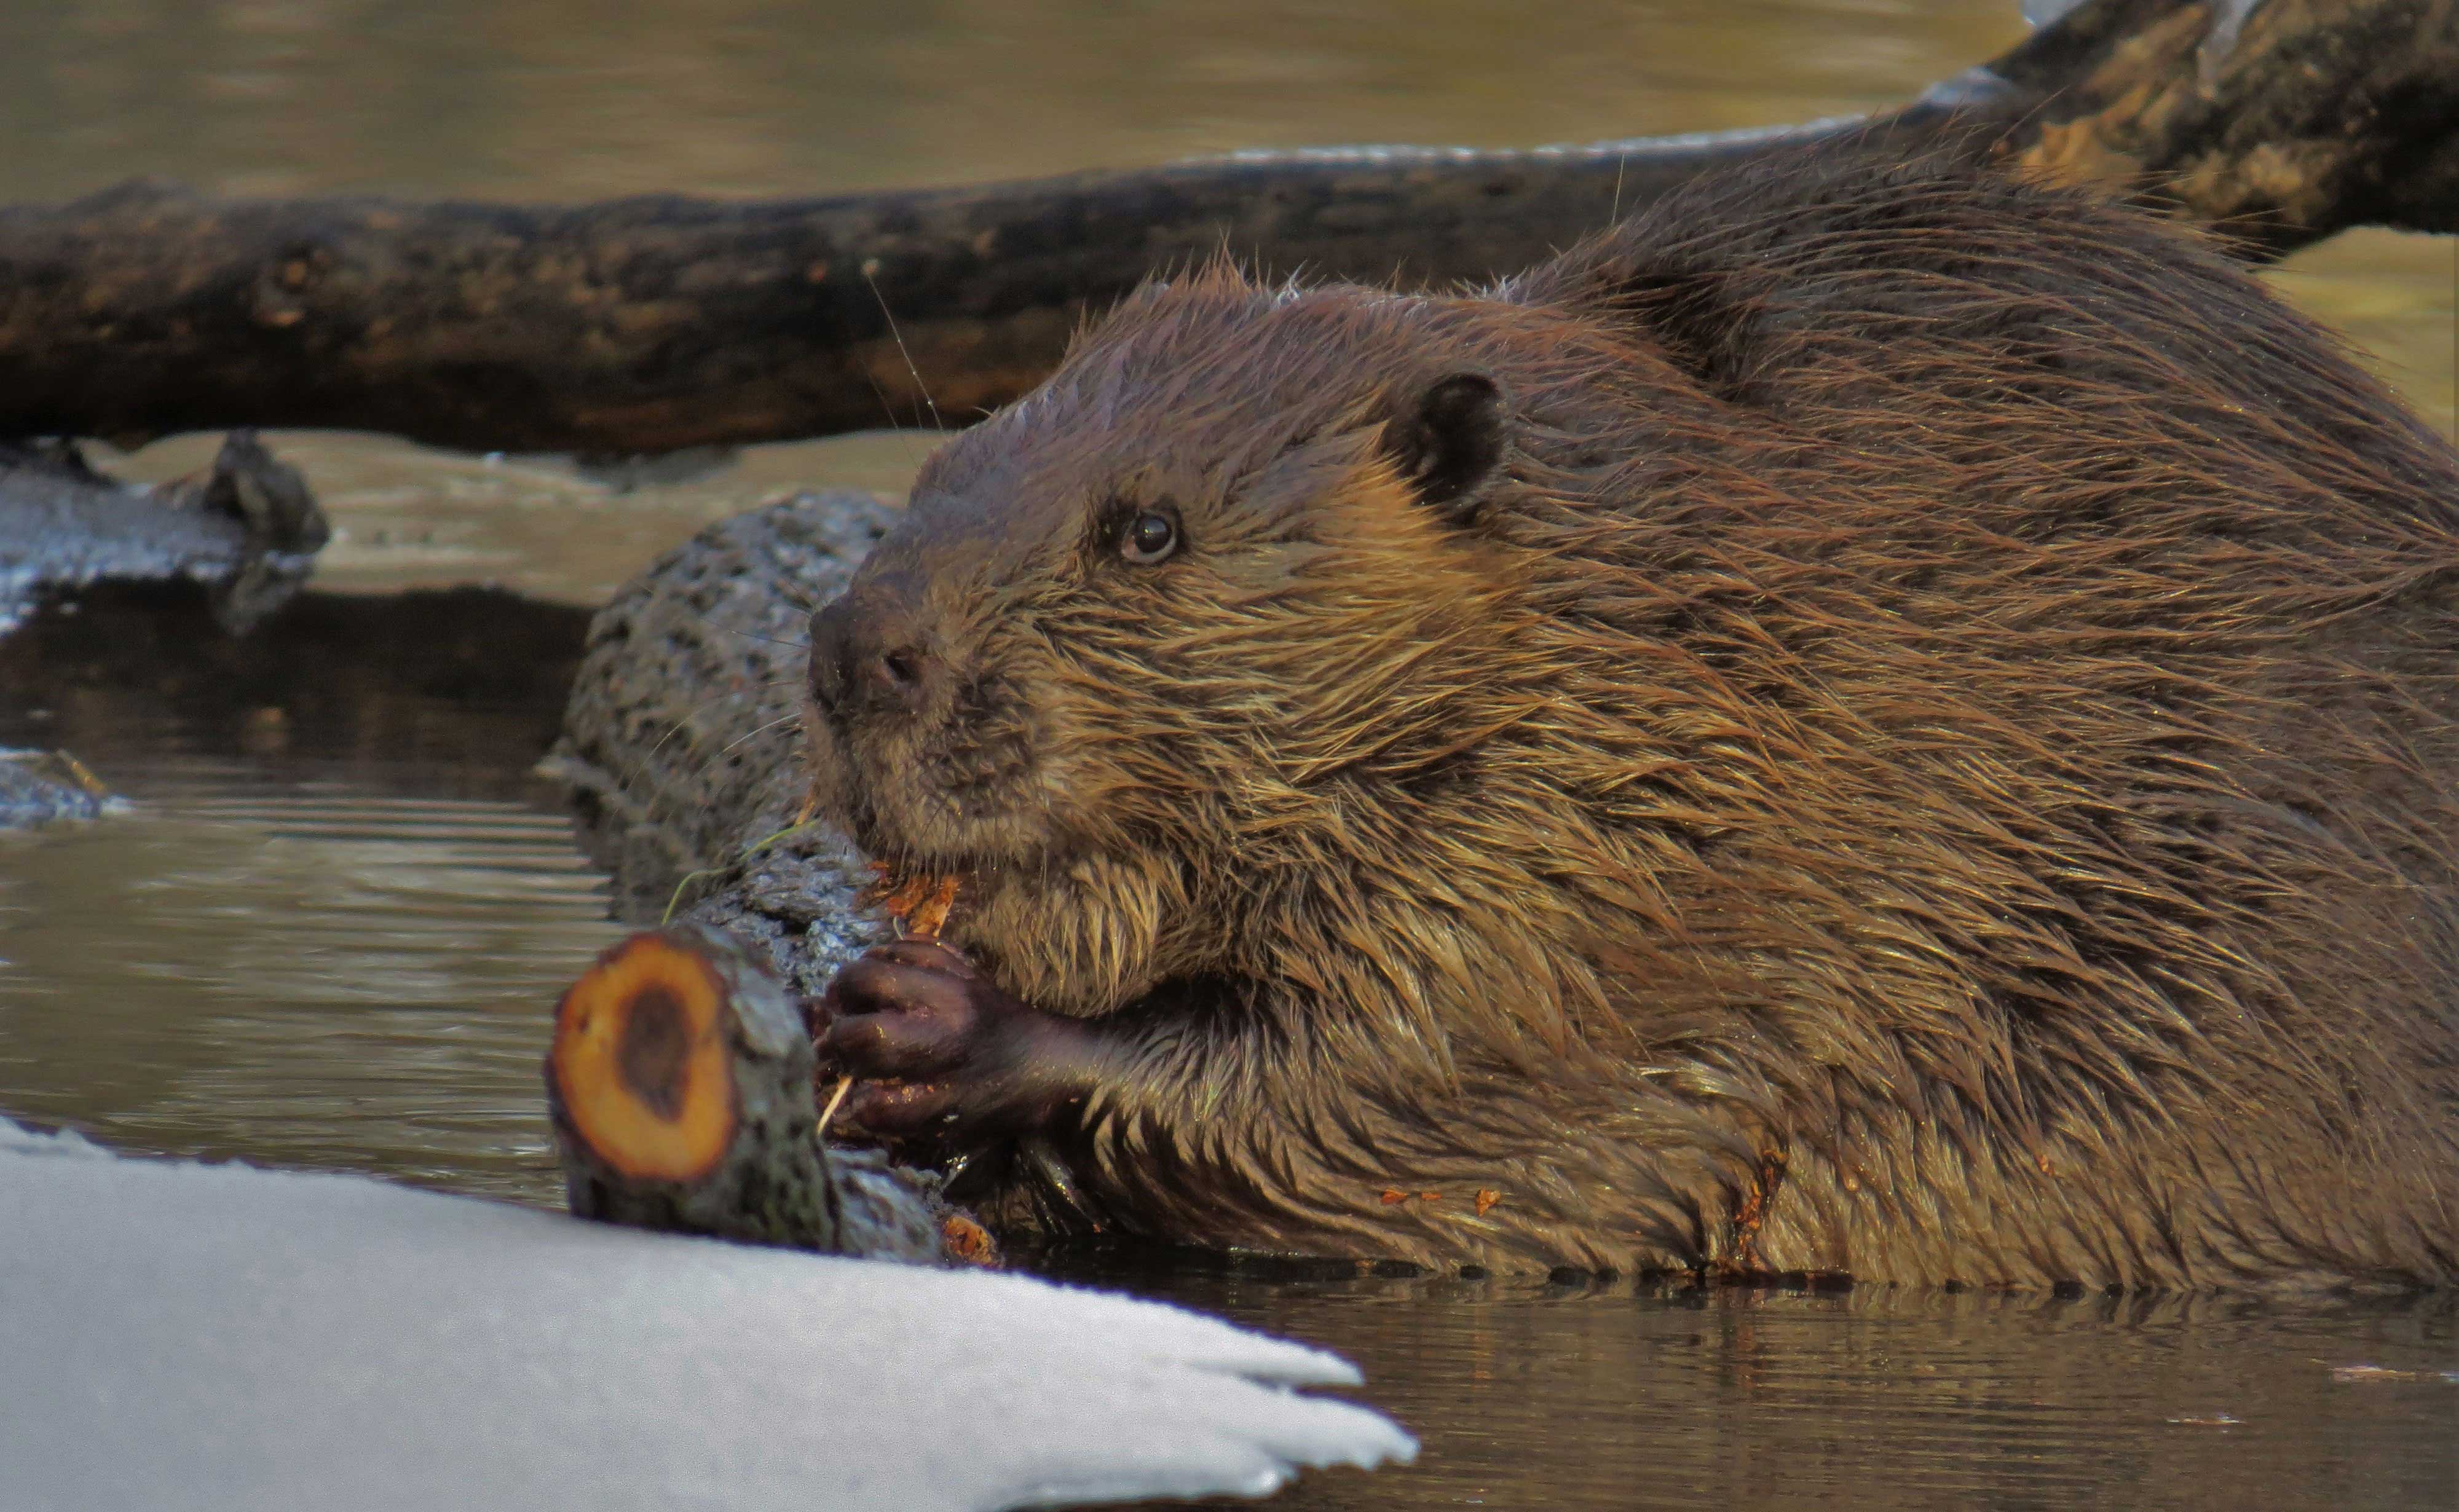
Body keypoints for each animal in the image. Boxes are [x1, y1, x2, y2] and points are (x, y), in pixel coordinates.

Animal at [802, 142, 2459, 1288]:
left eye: (1146, 532)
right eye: (944, 462)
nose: (856, 649)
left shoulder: (1640, 874)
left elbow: (1368, 1087)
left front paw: (920, 1017)